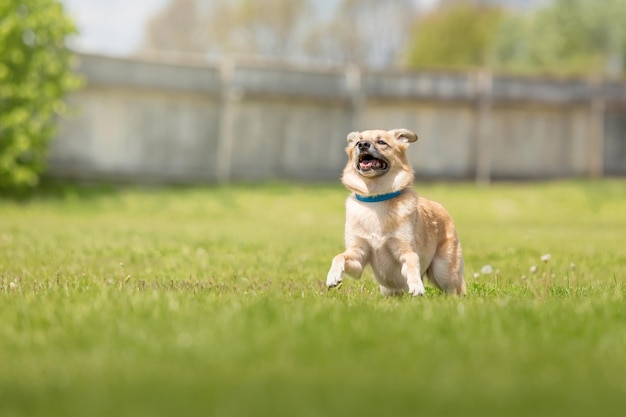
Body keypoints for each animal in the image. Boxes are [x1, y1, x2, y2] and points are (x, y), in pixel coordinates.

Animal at [326, 128, 464, 294]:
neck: (376, 197)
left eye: (381, 142)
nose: (362, 144)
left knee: (455, 291)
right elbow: (339, 256)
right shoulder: (357, 256)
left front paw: (416, 286)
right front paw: (332, 276)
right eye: (358, 141)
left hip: (444, 271)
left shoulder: (405, 250)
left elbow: (412, 263)